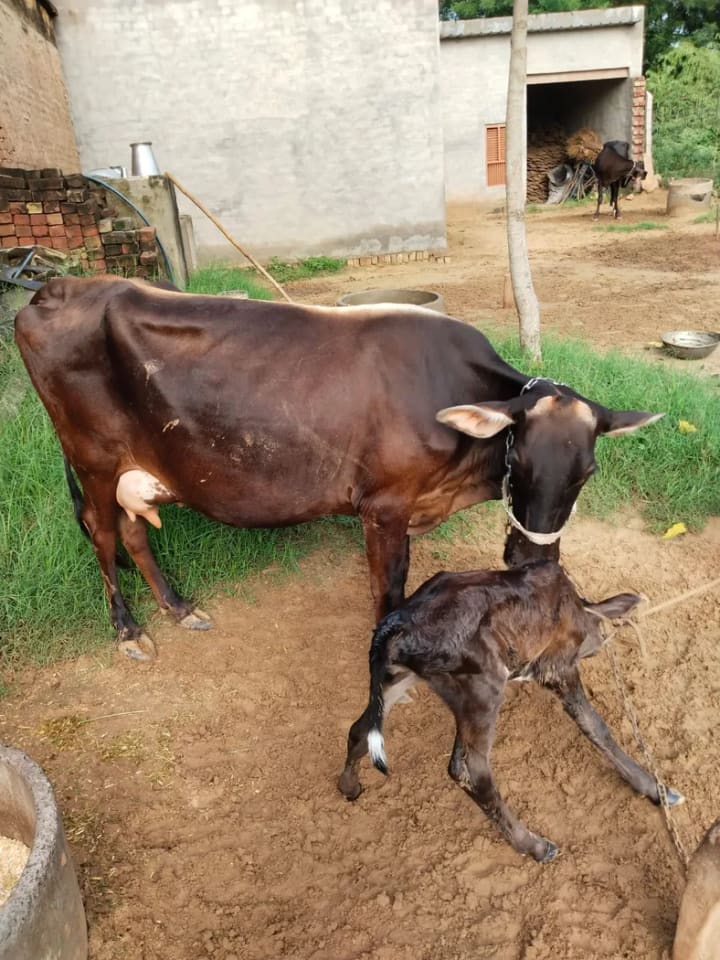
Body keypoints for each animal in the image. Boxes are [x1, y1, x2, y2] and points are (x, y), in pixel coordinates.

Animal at [15, 275, 663, 660]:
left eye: (587, 472)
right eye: (518, 457)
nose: (532, 558)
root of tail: (56, 286)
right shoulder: (384, 507)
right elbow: (390, 588)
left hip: (133, 470)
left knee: (132, 532)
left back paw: (179, 608)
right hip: (93, 459)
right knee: (103, 535)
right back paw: (128, 630)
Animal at [338, 560, 683, 861]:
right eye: (596, 634)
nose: (597, 646)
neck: (578, 606)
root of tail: (395, 625)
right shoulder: (557, 667)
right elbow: (596, 727)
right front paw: (658, 790)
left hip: (400, 678)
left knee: (359, 729)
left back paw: (348, 786)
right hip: (483, 688)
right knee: (468, 768)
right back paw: (535, 846)